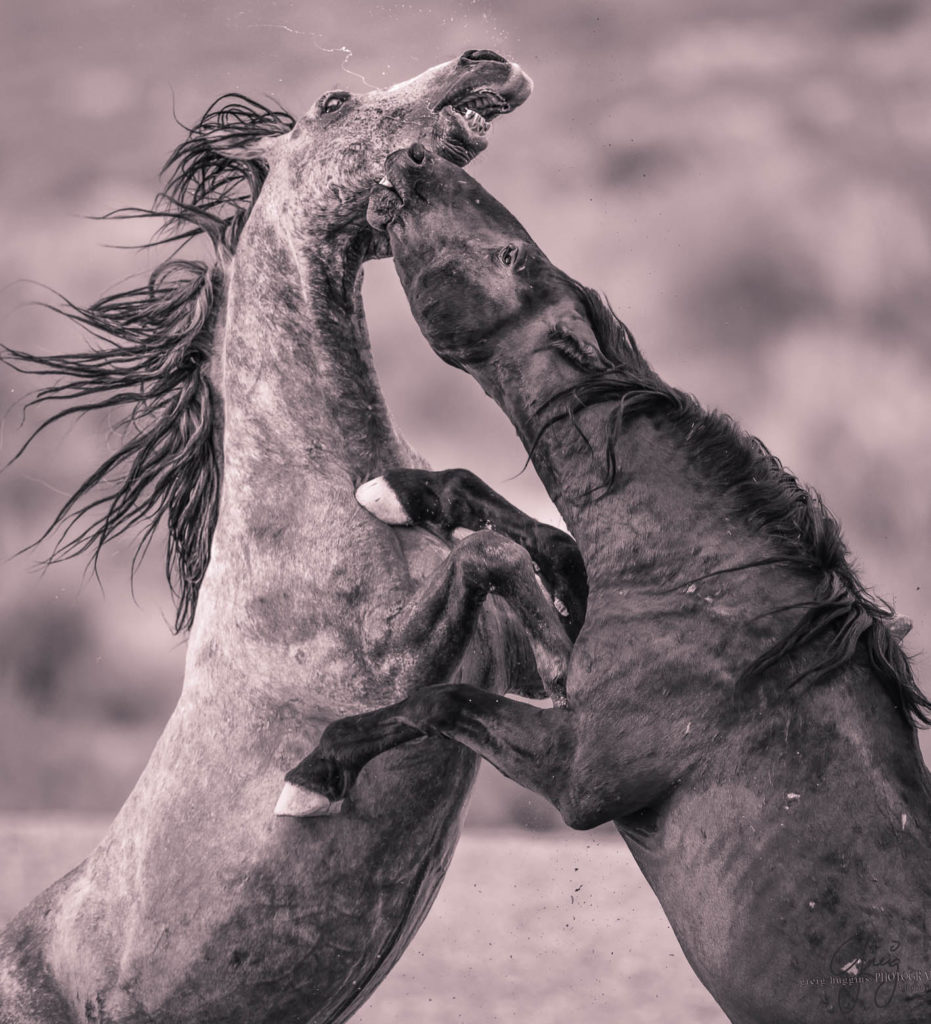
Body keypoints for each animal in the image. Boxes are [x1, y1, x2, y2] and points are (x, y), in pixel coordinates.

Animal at [0, 54, 573, 1024]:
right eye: (334, 103)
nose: (482, 61)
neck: (311, 491)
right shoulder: (387, 662)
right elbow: (484, 555)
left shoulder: (487, 660)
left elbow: (508, 535)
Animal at [282, 146, 929, 1024]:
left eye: (510, 258)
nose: (415, 159)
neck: (704, 587)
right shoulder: (567, 681)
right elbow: (522, 544)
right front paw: (400, 493)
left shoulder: (578, 777)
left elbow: (438, 698)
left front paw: (314, 775)